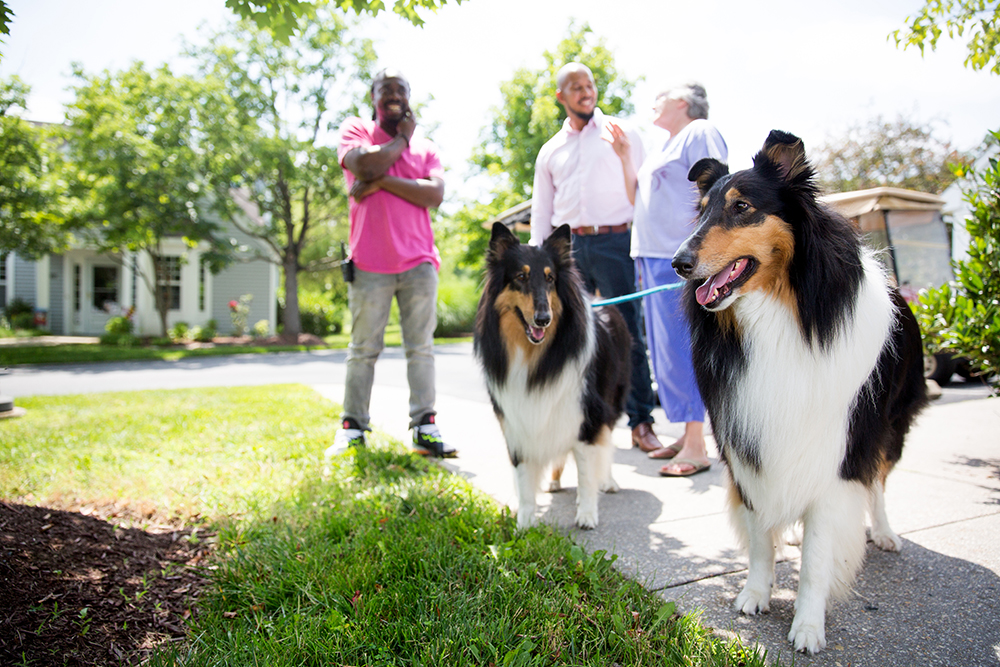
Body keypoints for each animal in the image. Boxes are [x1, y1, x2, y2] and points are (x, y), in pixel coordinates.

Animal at [472, 224, 628, 532]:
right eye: (520, 277)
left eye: (551, 278)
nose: (543, 319)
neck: (534, 357)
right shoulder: (516, 421)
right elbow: (523, 479)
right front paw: (524, 523)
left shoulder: (586, 415)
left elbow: (586, 471)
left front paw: (587, 514)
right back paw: (554, 482)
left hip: (612, 401)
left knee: (607, 443)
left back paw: (608, 481)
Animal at [672, 129, 928, 652]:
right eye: (702, 210)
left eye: (742, 206)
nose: (677, 263)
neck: (779, 314)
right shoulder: (747, 439)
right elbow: (758, 538)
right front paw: (755, 593)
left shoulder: (837, 456)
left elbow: (817, 557)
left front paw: (808, 625)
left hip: (889, 429)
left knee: (878, 484)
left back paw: (884, 532)